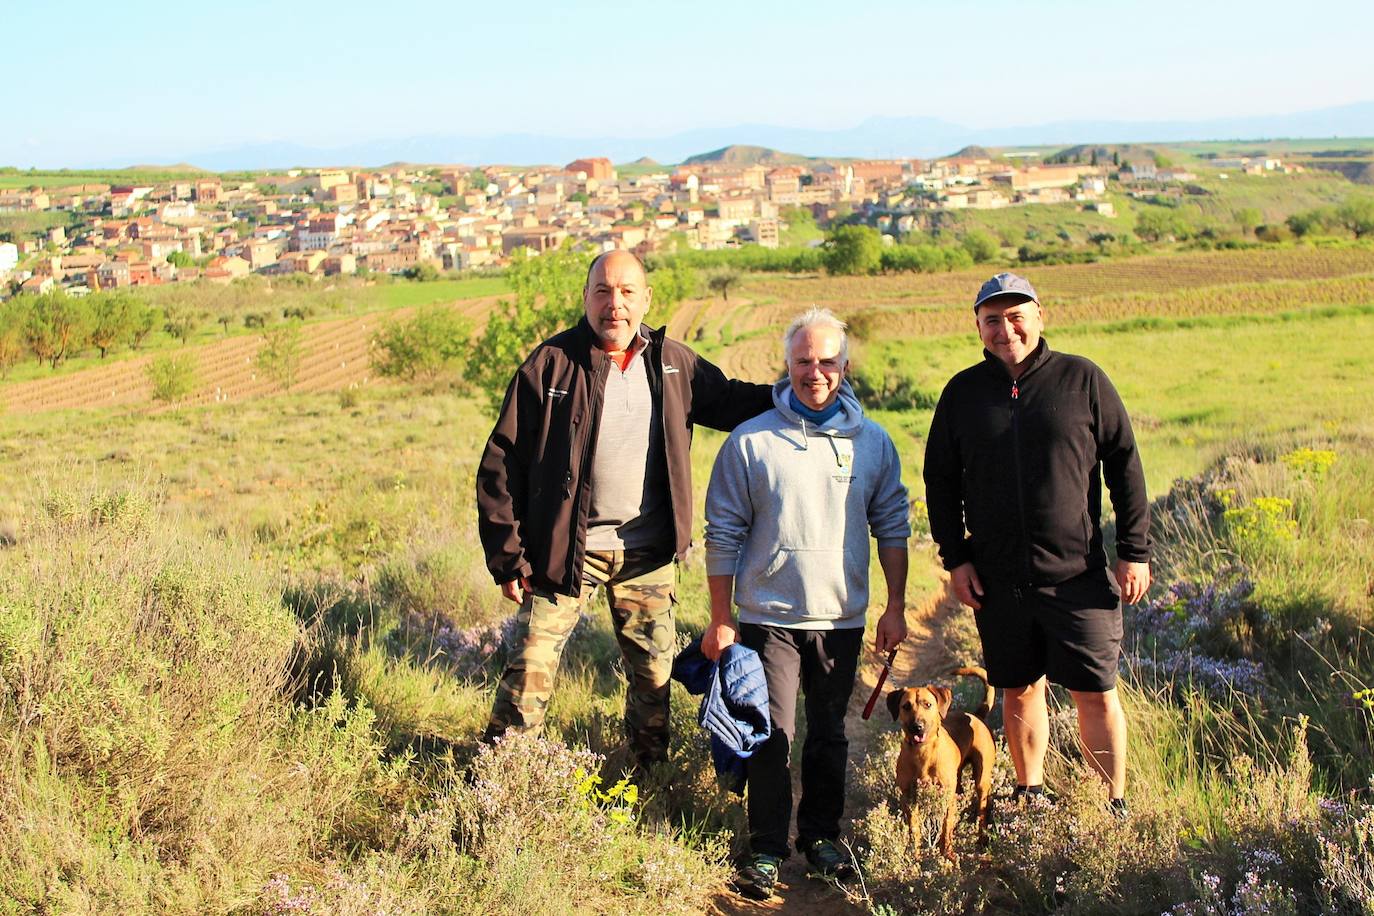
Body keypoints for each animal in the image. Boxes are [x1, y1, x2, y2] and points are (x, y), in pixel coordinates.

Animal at [884, 667, 994, 862]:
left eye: (928, 705)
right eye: (906, 706)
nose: (917, 726)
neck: (923, 753)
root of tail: (976, 715)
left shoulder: (946, 796)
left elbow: (945, 825)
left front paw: (947, 853)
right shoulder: (909, 797)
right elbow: (914, 827)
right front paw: (914, 852)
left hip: (981, 780)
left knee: (982, 809)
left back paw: (982, 839)